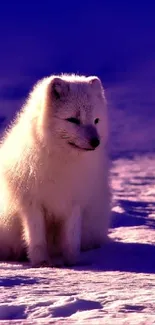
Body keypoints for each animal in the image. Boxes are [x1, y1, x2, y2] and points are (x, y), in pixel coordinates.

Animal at [0, 74, 110, 268]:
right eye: (73, 120)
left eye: (96, 120)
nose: (95, 142)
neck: (62, 161)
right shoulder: (32, 203)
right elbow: (36, 238)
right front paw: (42, 263)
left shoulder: (74, 202)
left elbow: (71, 240)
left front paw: (72, 263)